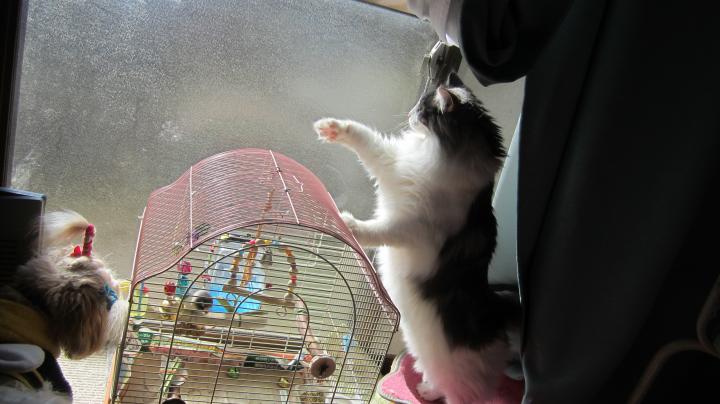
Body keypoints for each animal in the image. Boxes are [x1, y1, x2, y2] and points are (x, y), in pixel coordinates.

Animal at [313, 73, 520, 403]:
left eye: (424, 108)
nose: (410, 113)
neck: (434, 153)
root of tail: (499, 317)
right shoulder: (393, 164)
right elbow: (366, 140)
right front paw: (331, 128)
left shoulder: (411, 228)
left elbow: (376, 231)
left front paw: (348, 224)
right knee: (434, 379)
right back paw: (424, 389)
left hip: (461, 383)